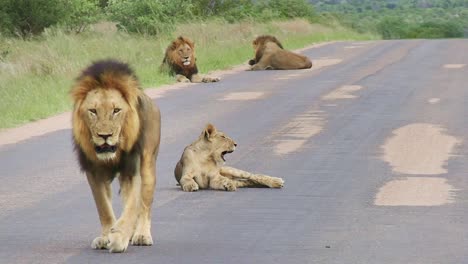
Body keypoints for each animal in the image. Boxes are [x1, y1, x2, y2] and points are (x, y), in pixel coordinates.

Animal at [71, 58, 161, 253]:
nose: (105, 136)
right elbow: (104, 208)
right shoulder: (94, 173)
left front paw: (119, 238)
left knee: (144, 205)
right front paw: (106, 237)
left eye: (116, 110)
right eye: (93, 111)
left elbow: (132, 206)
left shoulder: (132, 170)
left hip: (148, 167)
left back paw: (141, 235)